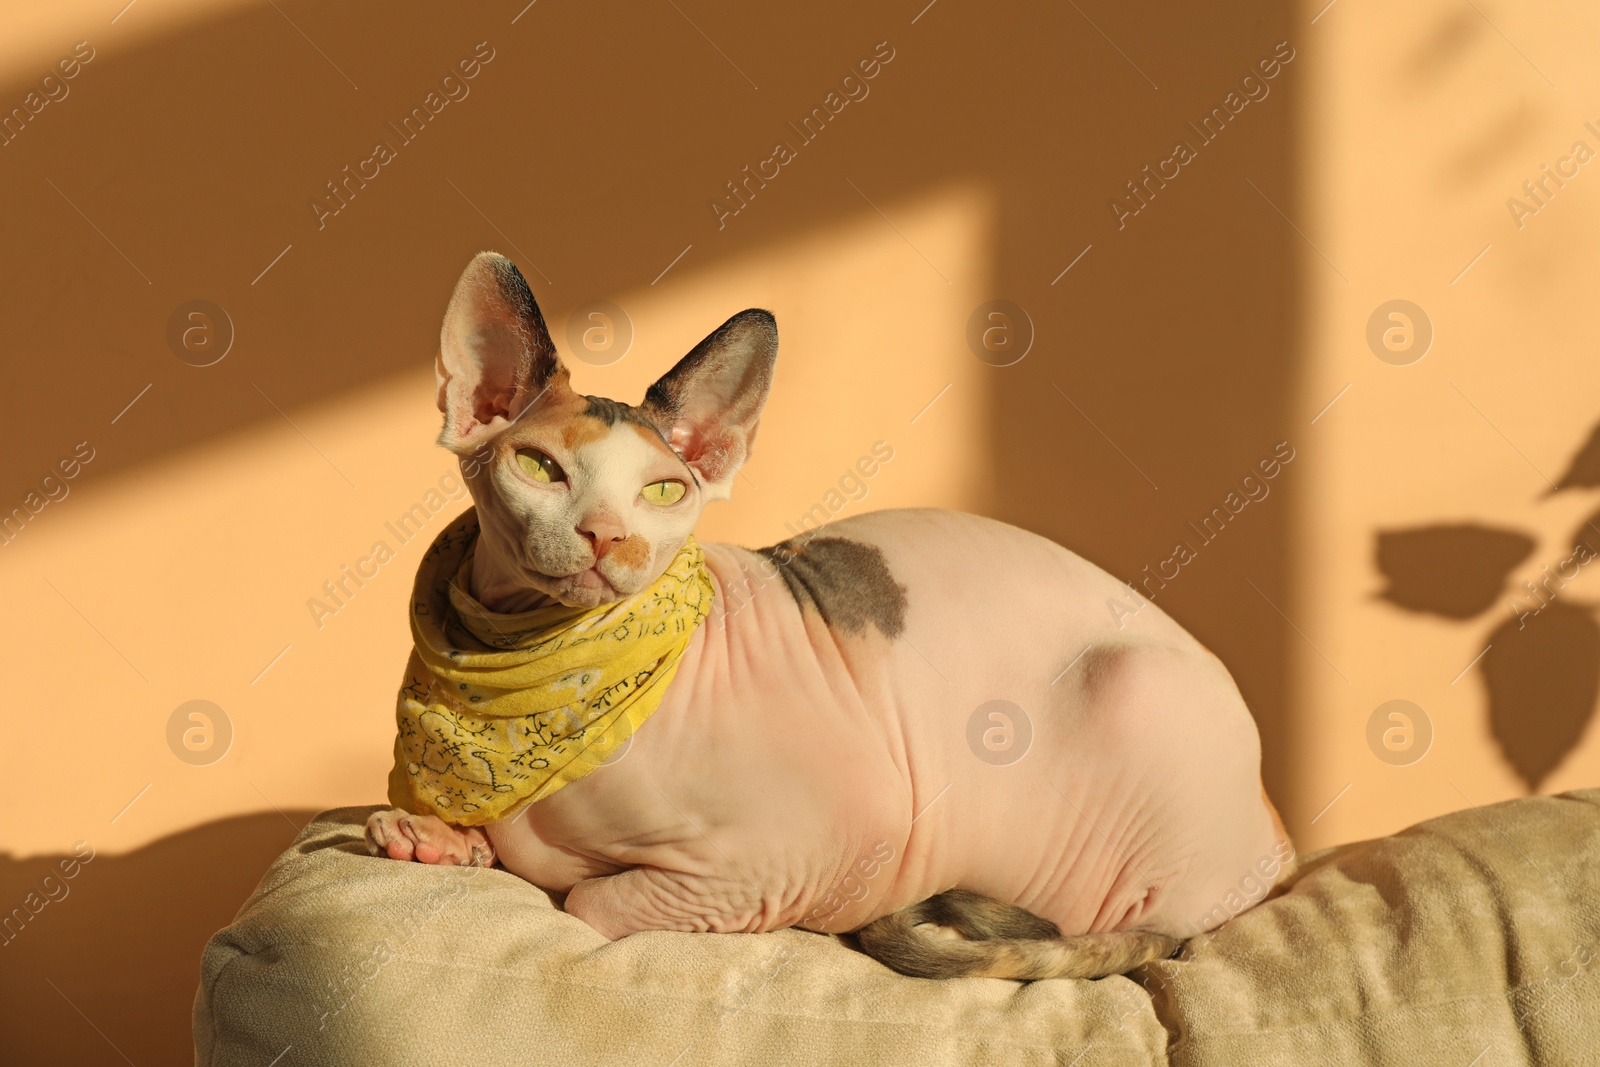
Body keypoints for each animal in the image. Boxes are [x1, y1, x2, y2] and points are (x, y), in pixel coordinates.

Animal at [363, 254, 1286, 979]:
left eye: (663, 491)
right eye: (538, 467)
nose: (607, 535)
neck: (542, 667)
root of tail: (1274, 831)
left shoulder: (812, 851)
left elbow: (583, 899)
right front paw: (434, 839)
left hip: (1134, 694)